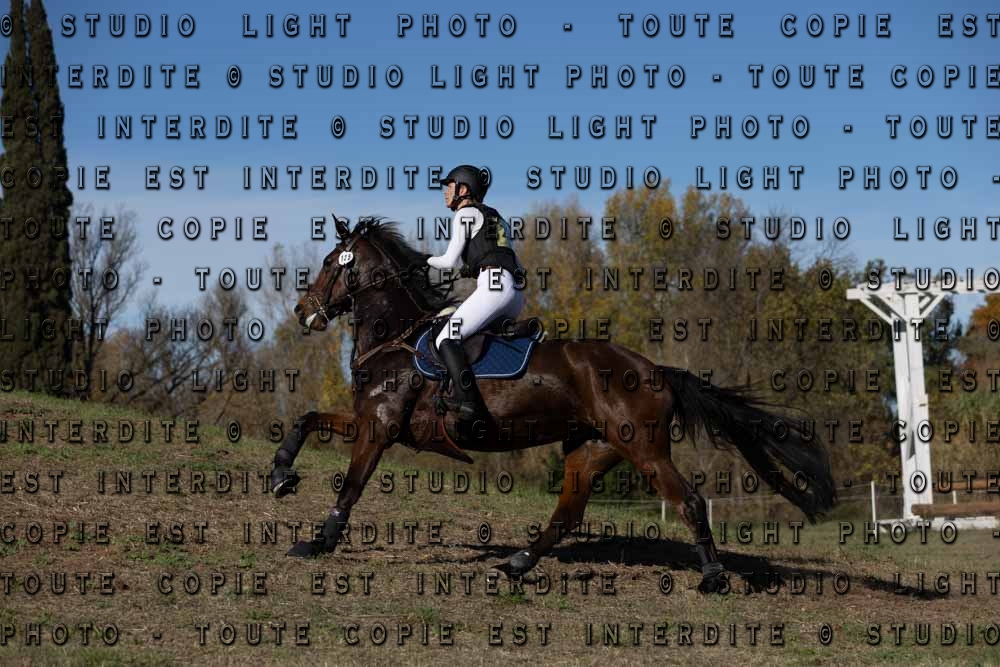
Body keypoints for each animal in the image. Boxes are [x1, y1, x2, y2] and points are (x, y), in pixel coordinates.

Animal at [269, 215, 836, 593]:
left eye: (330, 263)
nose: (301, 311)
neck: (397, 338)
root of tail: (656, 370)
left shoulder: (380, 428)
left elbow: (352, 485)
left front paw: (317, 542)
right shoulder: (370, 421)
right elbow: (306, 419)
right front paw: (280, 475)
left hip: (644, 450)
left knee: (689, 501)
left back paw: (714, 578)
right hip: (591, 448)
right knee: (568, 512)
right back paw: (517, 564)